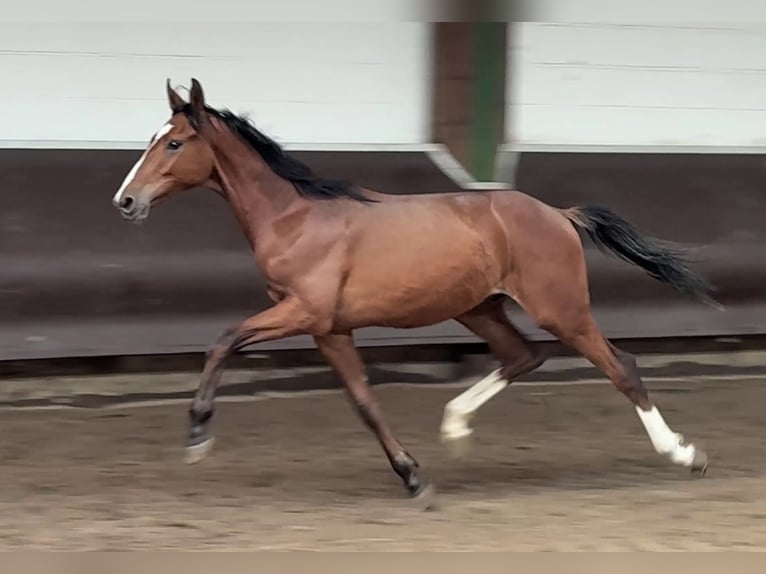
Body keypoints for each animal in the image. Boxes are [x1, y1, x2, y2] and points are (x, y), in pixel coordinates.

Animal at [112, 79, 712, 502]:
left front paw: (197, 437)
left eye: (174, 142)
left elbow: (222, 340)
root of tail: (559, 215)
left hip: (560, 309)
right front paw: (413, 476)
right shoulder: (330, 329)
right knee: (523, 356)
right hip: (479, 307)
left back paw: (687, 456)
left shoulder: (303, 311)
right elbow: (364, 402)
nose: (125, 201)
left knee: (620, 367)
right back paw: (456, 426)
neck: (293, 217)